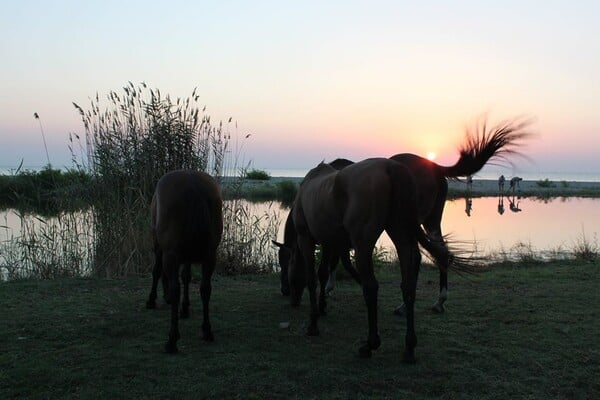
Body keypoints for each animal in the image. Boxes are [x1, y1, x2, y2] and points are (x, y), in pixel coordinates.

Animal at [145, 170, 223, 354]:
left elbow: (157, 271)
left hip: (171, 255)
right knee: (205, 289)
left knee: (176, 289)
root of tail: (194, 185)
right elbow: (186, 276)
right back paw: (207, 330)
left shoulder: (160, 247)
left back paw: (172, 340)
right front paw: (185, 307)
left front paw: (152, 300)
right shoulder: (187, 256)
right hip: (210, 255)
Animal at [288, 158, 452, 364]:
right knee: (408, 285)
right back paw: (409, 347)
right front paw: (322, 307)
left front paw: (313, 323)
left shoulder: (306, 239)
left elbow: (312, 279)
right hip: (400, 233)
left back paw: (370, 344)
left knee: (371, 287)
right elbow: (323, 273)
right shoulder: (329, 242)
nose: (292, 300)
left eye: (288, 273)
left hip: (363, 244)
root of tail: (391, 168)